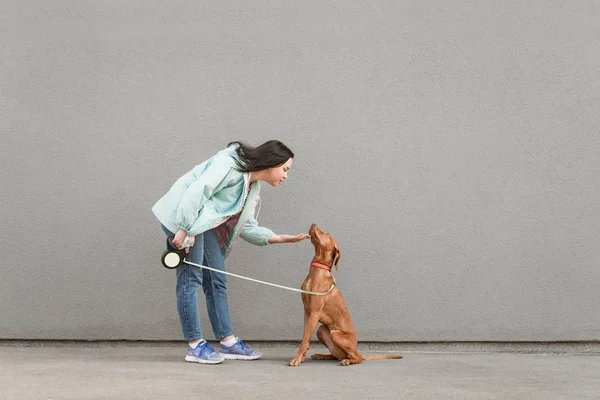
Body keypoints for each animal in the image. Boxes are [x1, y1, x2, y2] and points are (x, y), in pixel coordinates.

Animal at [288, 223, 404, 368]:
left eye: (327, 234)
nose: (313, 224)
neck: (317, 271)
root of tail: (357, 349)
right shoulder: (307, 312)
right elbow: (305, 337)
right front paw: (302, 357)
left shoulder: (314, 313)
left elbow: (304, 340)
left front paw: (297, 359)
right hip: (321, 329)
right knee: (336, 355)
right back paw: (322, 355)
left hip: (336, 334)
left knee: (356, 358)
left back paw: (348, 360)